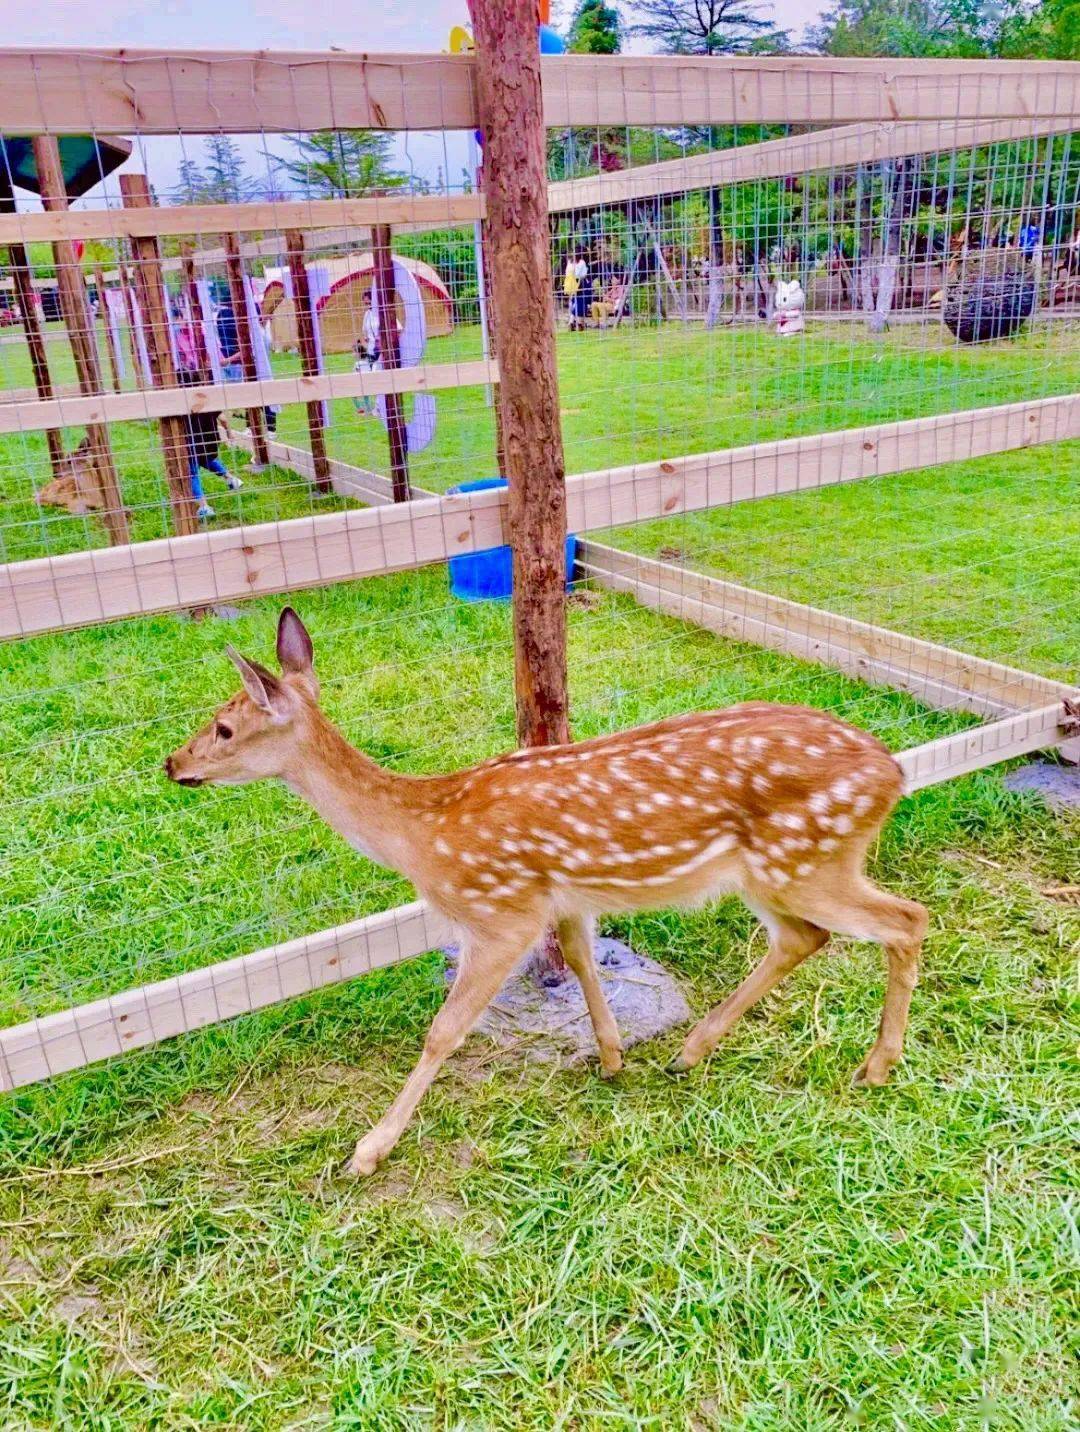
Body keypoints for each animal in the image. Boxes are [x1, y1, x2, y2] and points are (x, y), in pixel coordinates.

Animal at [165, 608, 928, 1177]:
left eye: (225, 727)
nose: (172, 763)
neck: (423, 833)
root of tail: (893, 773)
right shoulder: (561, 898)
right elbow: (583, 959)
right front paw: (614, 1057)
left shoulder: (499, 911)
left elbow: (445, 1030)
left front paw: (369, 1149)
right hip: (775, 871)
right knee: (806, 936)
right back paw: (690, 1052)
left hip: (807, 859)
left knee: (905, 918)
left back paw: (876, 1066)